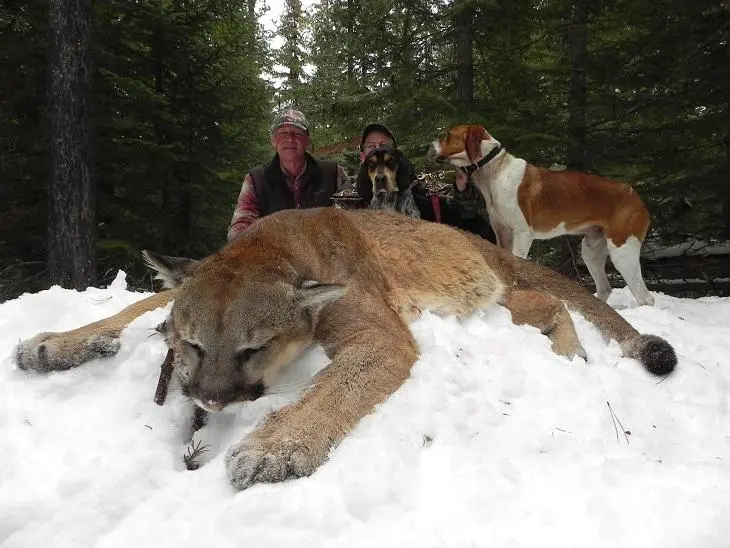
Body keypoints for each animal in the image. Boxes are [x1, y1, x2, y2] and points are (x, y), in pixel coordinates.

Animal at [15, 208, 676, 490]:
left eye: (254, 349)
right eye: (194, 344)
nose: (209, 400)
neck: (278, 246)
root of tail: (475, 238)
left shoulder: (380, 335)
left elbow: (339, 384)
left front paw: (275, 446)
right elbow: (139, 306)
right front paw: (54, 343)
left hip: (489, 300)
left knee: (554, 305)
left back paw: (571, 360)